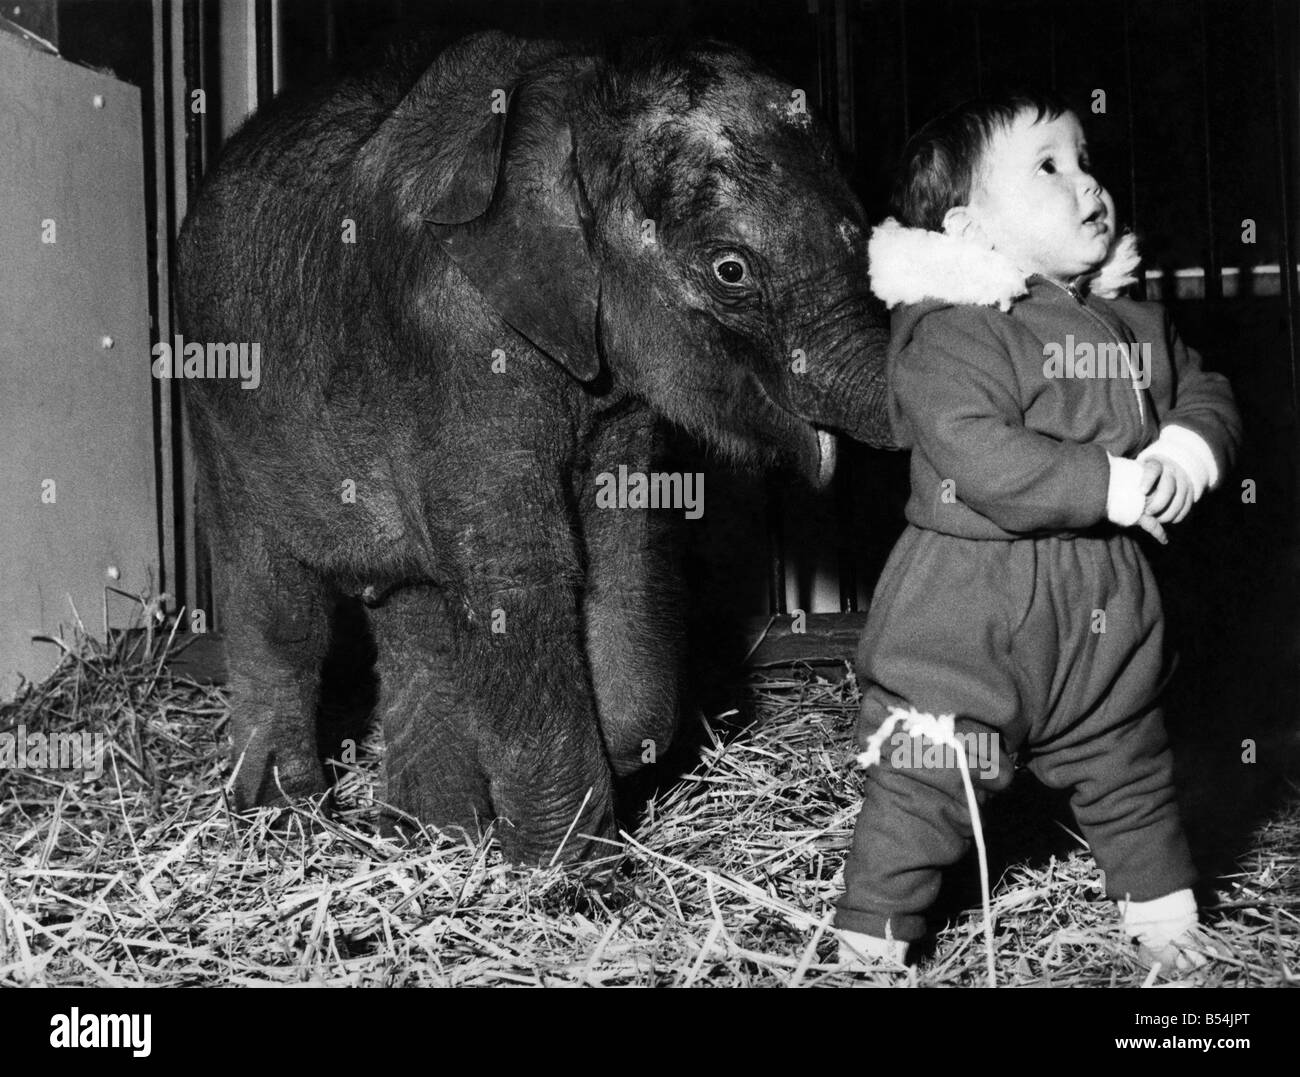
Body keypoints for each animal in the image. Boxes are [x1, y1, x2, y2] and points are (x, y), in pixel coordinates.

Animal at [180, 29, 894, 863]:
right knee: (281, 608)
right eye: (731, 269)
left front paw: (615, 747)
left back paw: (434, 836)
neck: (575, 107)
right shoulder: (454, 344)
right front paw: (568, 870)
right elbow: (521, 580)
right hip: (218, 409)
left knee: (416, 616)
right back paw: (288, 824)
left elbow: (623, 551)